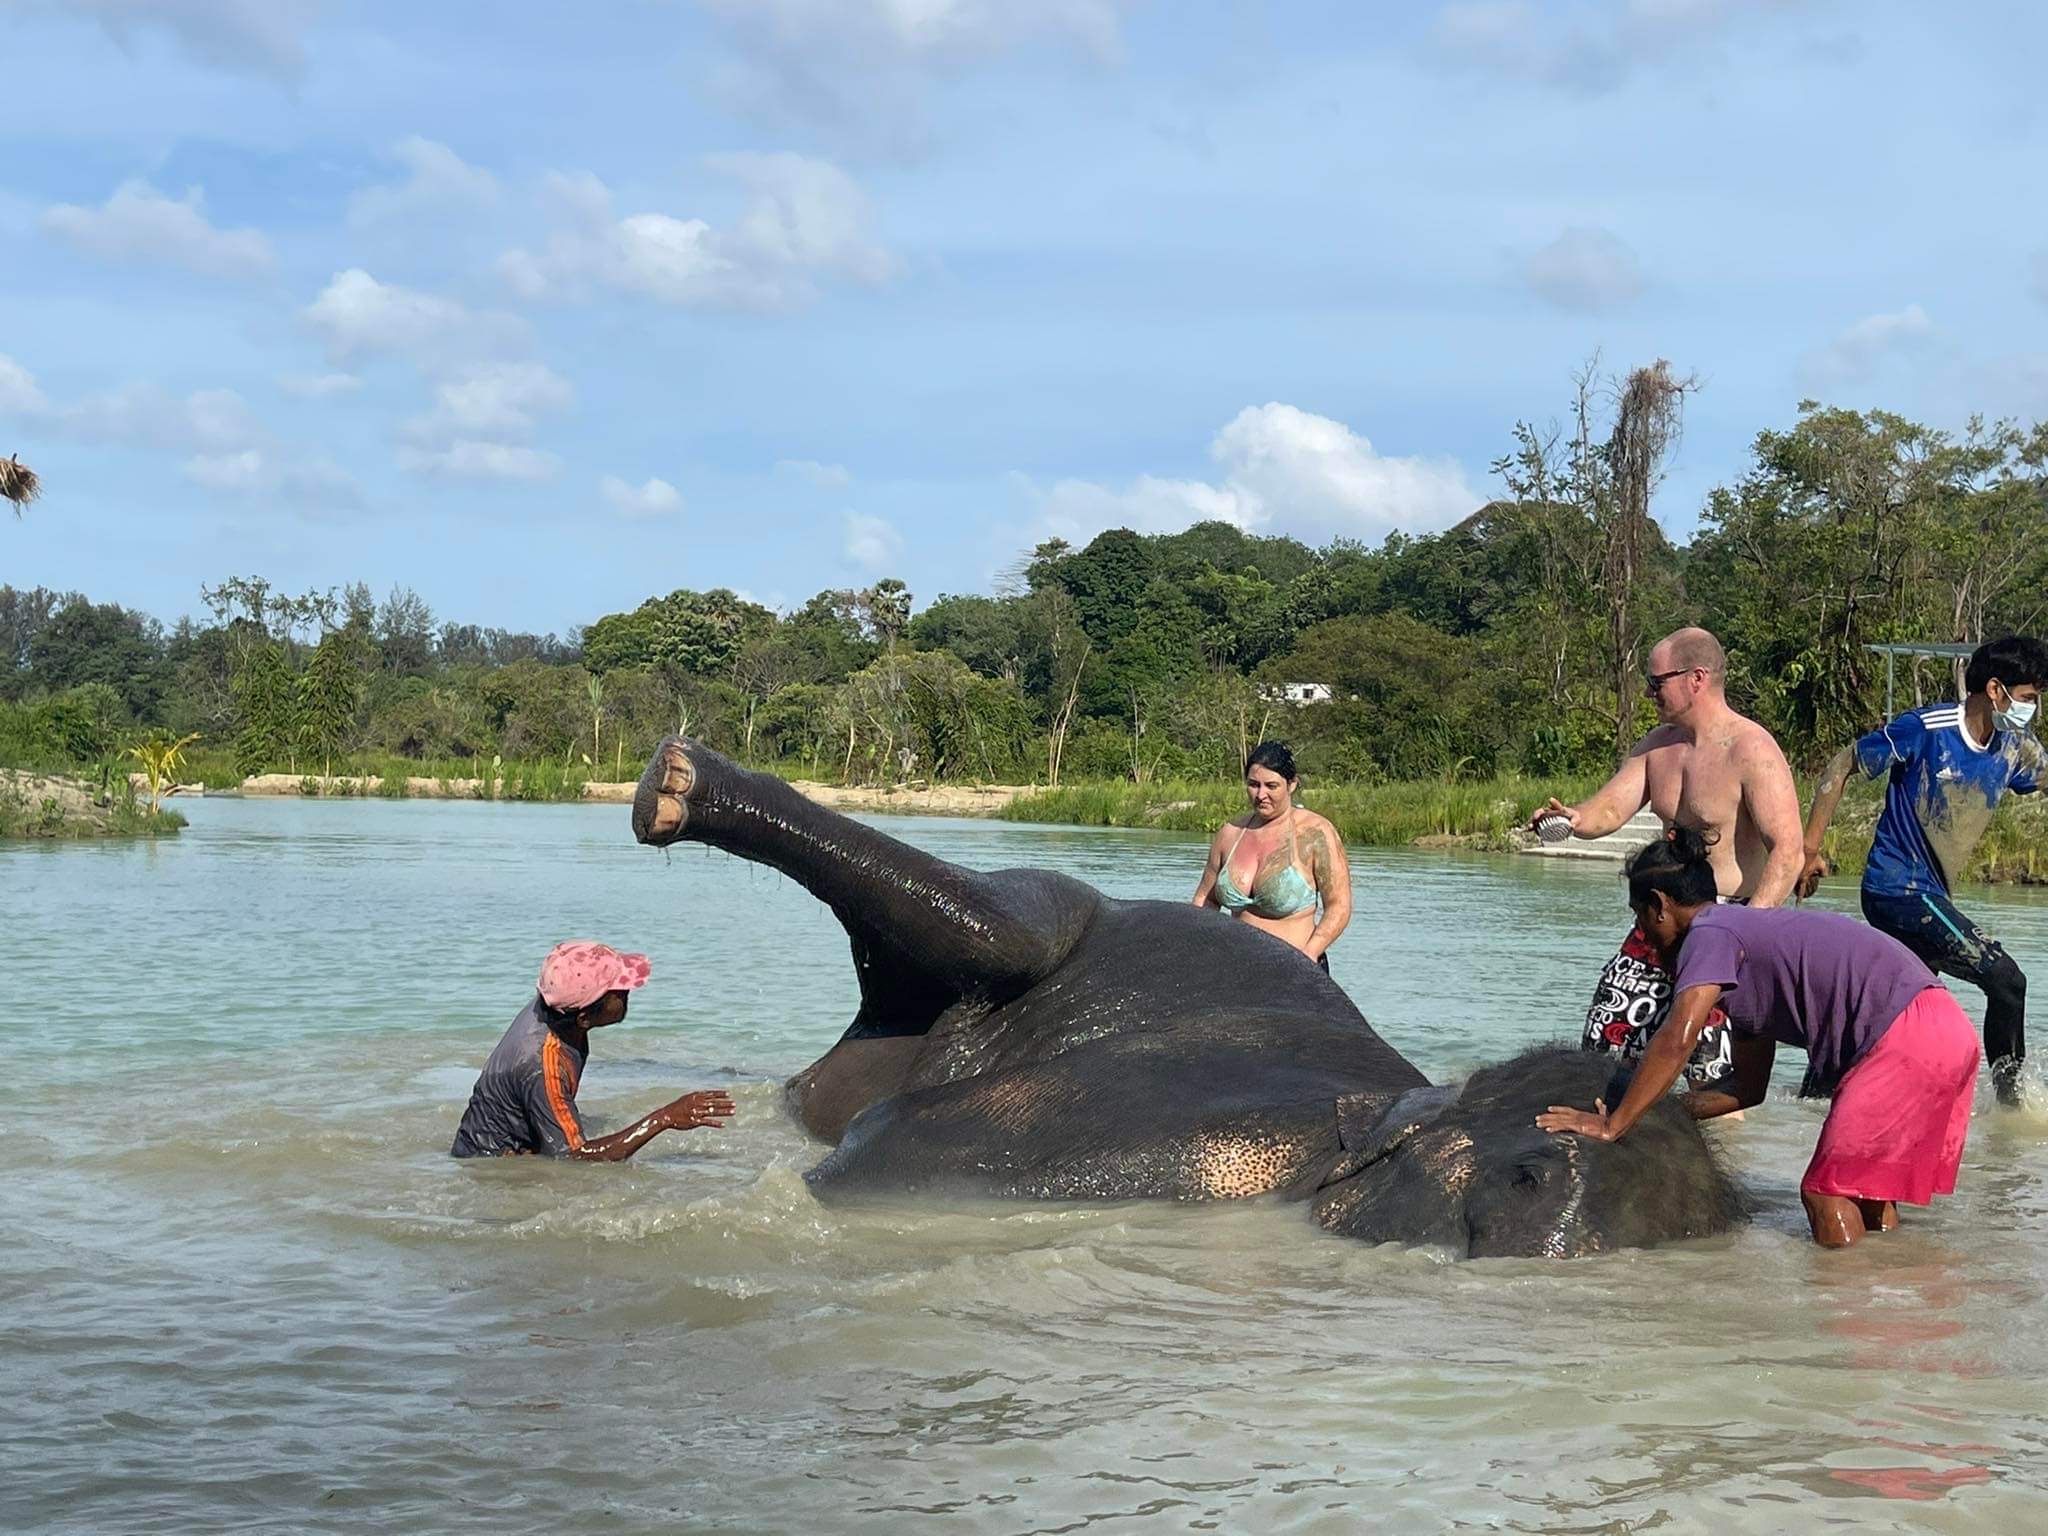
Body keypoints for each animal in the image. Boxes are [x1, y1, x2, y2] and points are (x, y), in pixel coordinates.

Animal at [626, 741, 1744, 1253]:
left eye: (1524, 1181)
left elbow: (878, 1151)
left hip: (1028, 927)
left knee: (991, 929)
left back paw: (674, 786)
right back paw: (669, 791)